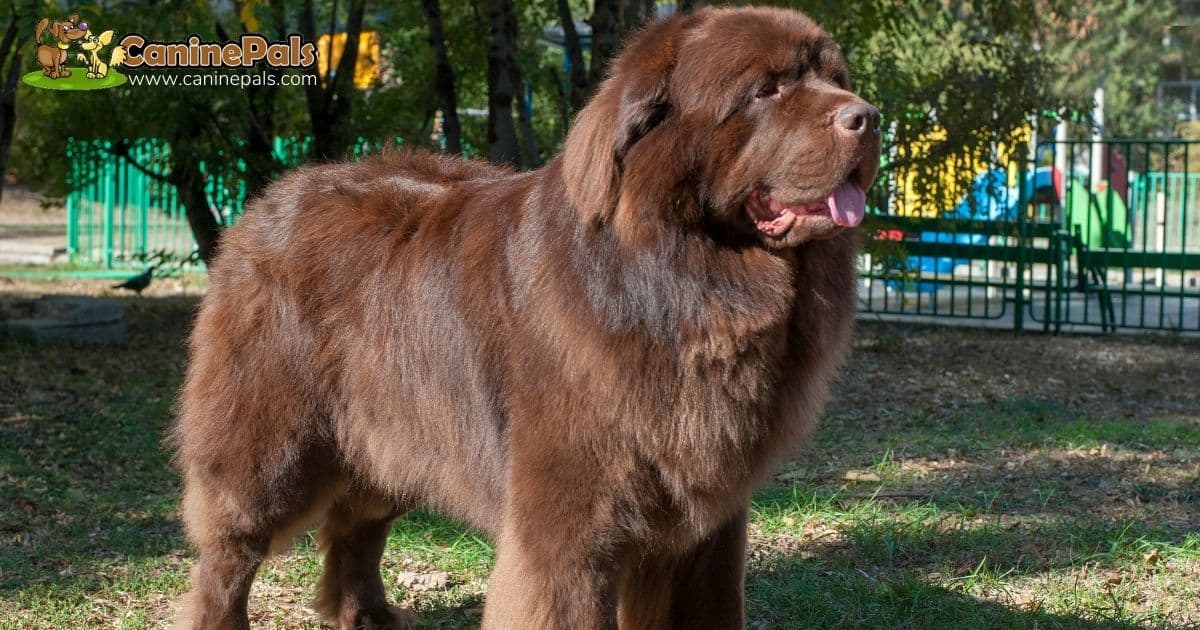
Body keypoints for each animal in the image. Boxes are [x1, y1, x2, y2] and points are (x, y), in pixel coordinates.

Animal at [171, 6, 883, 628]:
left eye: (834, 77)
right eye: (766, 90)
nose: (868, 116)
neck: (678, 282)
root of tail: (271, 198)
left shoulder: (706, 521)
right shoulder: (571, 517)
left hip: (396, 427)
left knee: (356, 522)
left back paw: (368, 615)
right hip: (275, 441)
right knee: (229, 550)